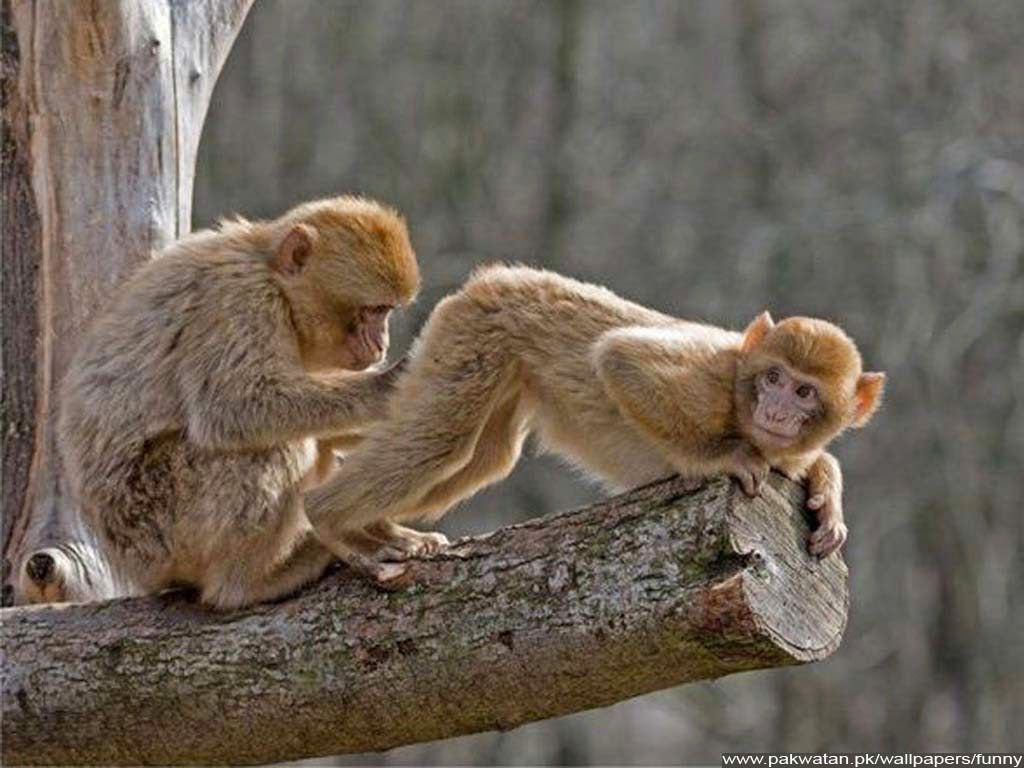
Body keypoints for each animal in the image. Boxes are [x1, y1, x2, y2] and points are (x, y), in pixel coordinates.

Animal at [42, 195, 423, 609]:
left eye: (386, 313)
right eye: (373, 311)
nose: (381, 344)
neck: (273, 278)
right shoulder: (239, 299)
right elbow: (233, 407)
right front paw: (387, 386)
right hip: (159, 522)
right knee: (273, 447)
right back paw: (250, 582)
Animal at [304, 265, 885, 581]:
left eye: (805, 391)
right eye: (774, 378)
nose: (777, 411)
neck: (742, 400)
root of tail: (493, 278)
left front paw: (827, 494)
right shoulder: (710, 378)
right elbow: (619, 359)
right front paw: (720, 459)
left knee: (483, 457)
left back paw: (373, 527)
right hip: (474, 335)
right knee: (440, 439)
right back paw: (328, 516)